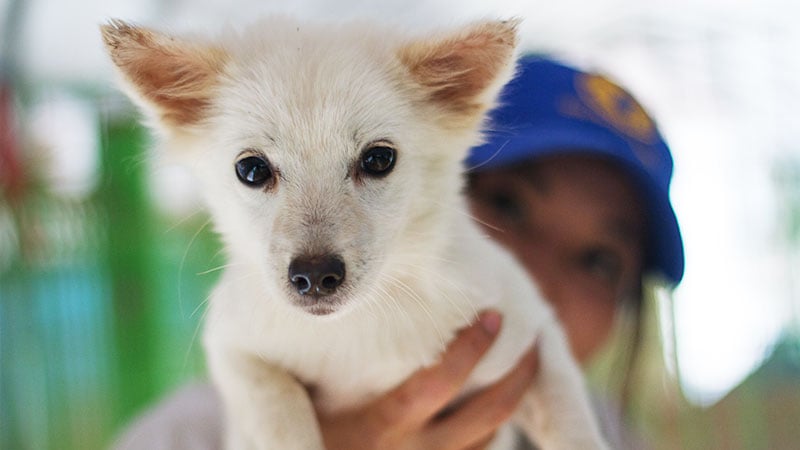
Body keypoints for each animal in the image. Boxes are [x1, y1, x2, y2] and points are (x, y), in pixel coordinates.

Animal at [101, 16, 608, 450]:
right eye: (252, 169)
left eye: (378, 159)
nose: (314, 276)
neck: (359, 326)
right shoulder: (231, 345)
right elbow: (276, 408)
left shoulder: (532, 338)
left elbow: (574, 429)